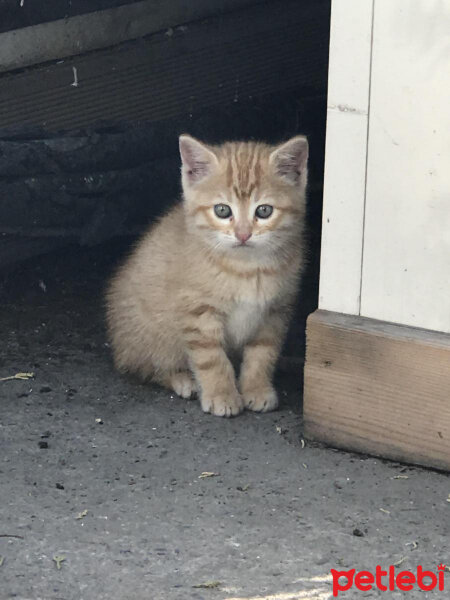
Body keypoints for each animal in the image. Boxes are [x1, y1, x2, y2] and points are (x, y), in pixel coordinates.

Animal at [107, 135, 308, 418]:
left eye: (264, 211)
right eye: (222, 211)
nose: (243, 234)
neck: (247, 268)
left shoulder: (275, 312)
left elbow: (262, 355)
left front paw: (257, 389)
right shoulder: (197, 312)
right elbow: (212, 359)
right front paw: (221, 395)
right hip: (151, 335)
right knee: (145, 367)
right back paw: (182, 379)